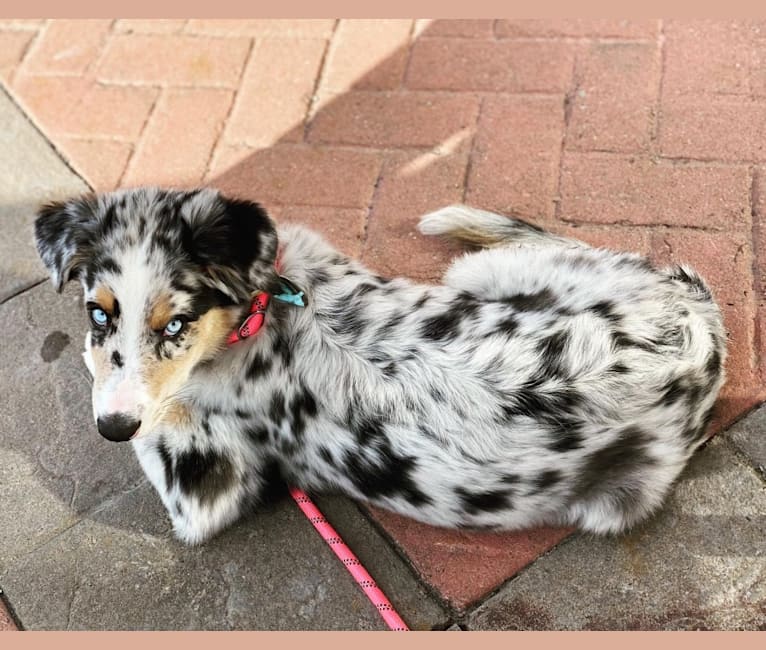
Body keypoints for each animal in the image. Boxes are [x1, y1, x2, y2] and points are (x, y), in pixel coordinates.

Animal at [33, 186, 728, 540]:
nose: (109, 428)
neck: (260, 312)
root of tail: (693, 321)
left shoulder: (204, 485)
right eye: (98, 312)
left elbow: (151, 417)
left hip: (482, 276)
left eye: (175, 323)